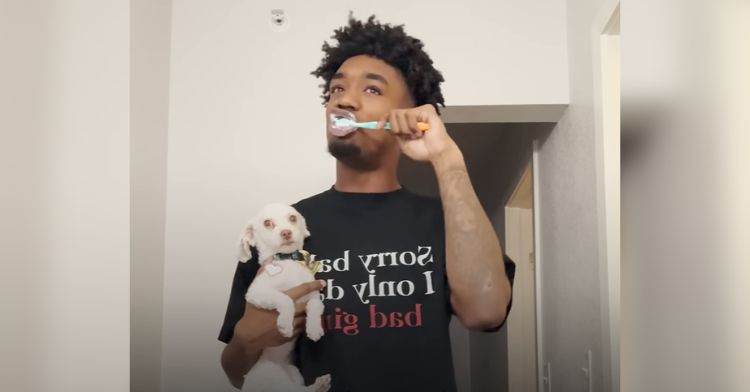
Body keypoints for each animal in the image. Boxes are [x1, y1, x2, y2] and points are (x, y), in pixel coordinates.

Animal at [235, 204, 328, 390]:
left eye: (293, 218)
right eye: (267, 223)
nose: (286, 232)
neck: (287, 261)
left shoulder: (313, 296)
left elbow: (314, 307)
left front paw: (314, 328)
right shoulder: (256, 294)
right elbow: (285, 299)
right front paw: (285, 323)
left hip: (294, 373)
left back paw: (320, 384)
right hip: (271, 372)